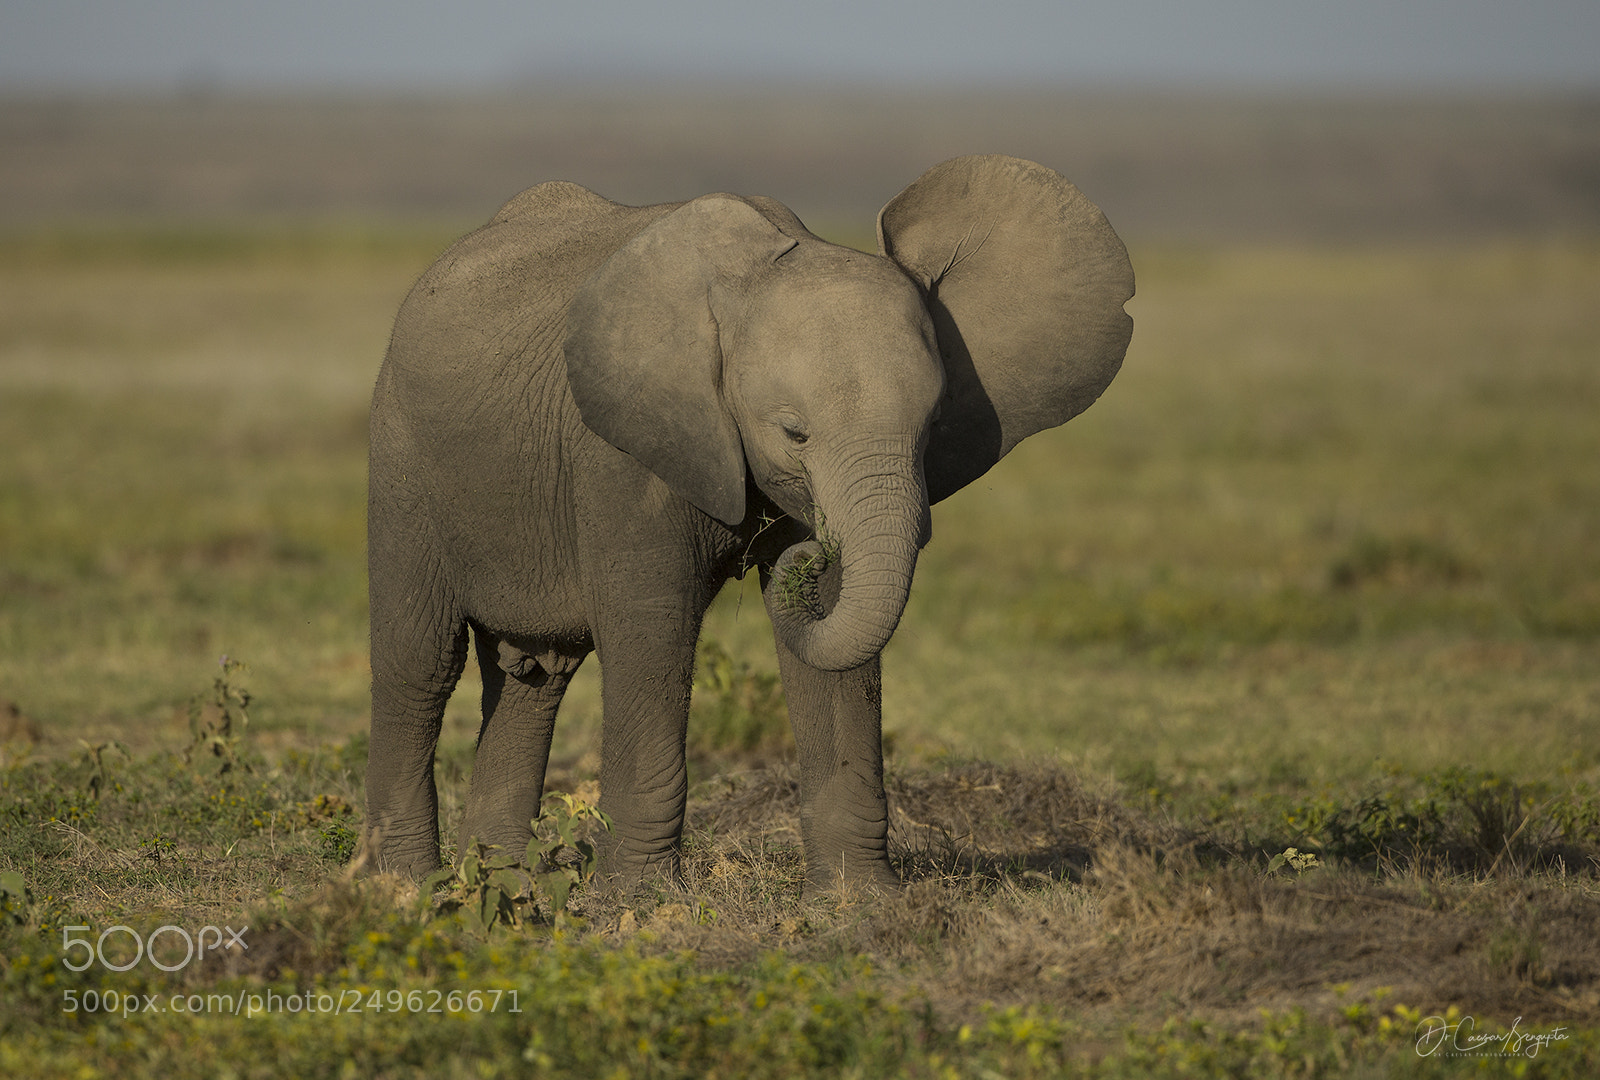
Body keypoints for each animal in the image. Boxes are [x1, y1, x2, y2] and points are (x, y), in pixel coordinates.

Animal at [364, 154, 1133, 895]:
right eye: (794, 433)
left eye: (934, 425)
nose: (810, 556)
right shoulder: (621, 453)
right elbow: (654, 628)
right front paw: (639, 908)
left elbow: (832, 640)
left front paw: (861, 907)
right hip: (401, 459)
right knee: (420, 663)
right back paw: (408, 889)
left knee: (534, 676)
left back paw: (502, 889)